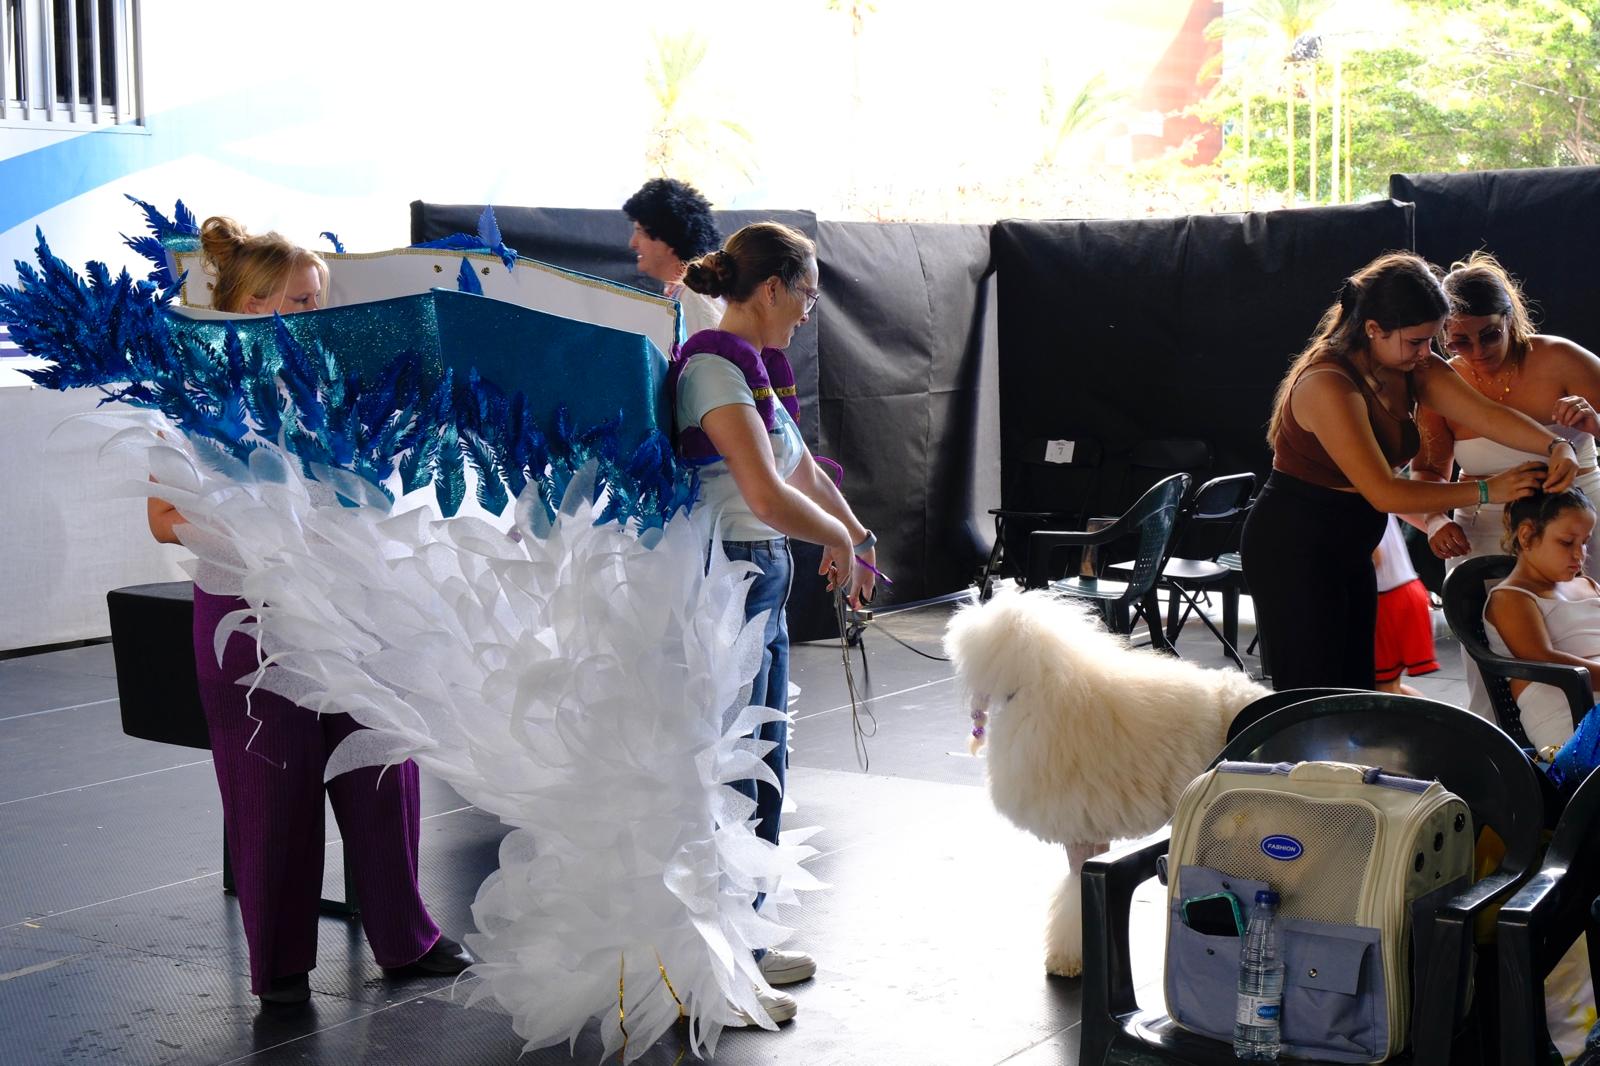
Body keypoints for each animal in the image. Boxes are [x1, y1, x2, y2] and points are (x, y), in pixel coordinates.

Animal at [940, 585, 1267, 973]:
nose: (976, 721)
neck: (1042, 688)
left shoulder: (1076, 832)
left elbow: (1074, 889)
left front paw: (1069, 958)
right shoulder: (1090, 830)